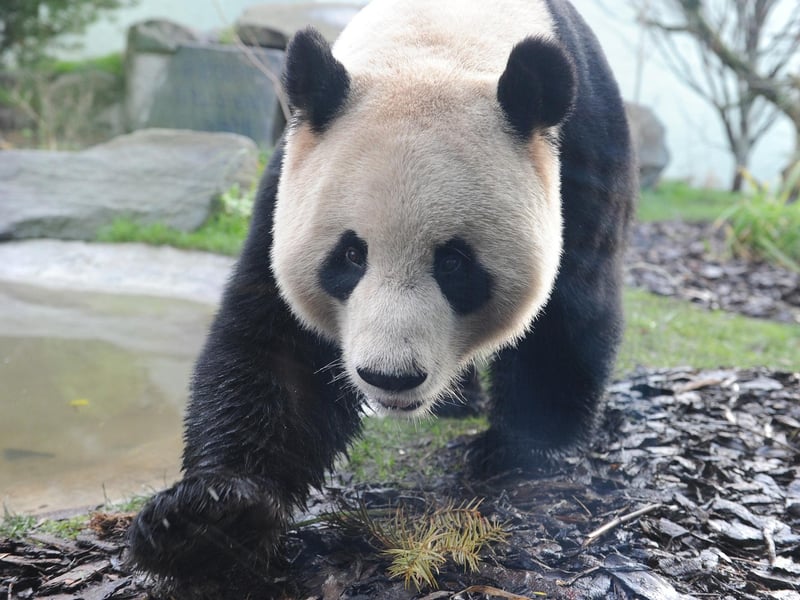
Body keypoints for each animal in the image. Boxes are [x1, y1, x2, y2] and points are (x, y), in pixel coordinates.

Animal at [128, 0, 635, 580]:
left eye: (455, 263)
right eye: (351, 256)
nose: (390, 377)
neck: (436, 39)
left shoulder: (582, 147)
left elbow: (568, 305)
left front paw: (526, 448)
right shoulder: (293, 172)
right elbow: (277, 344)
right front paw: (206, 522)